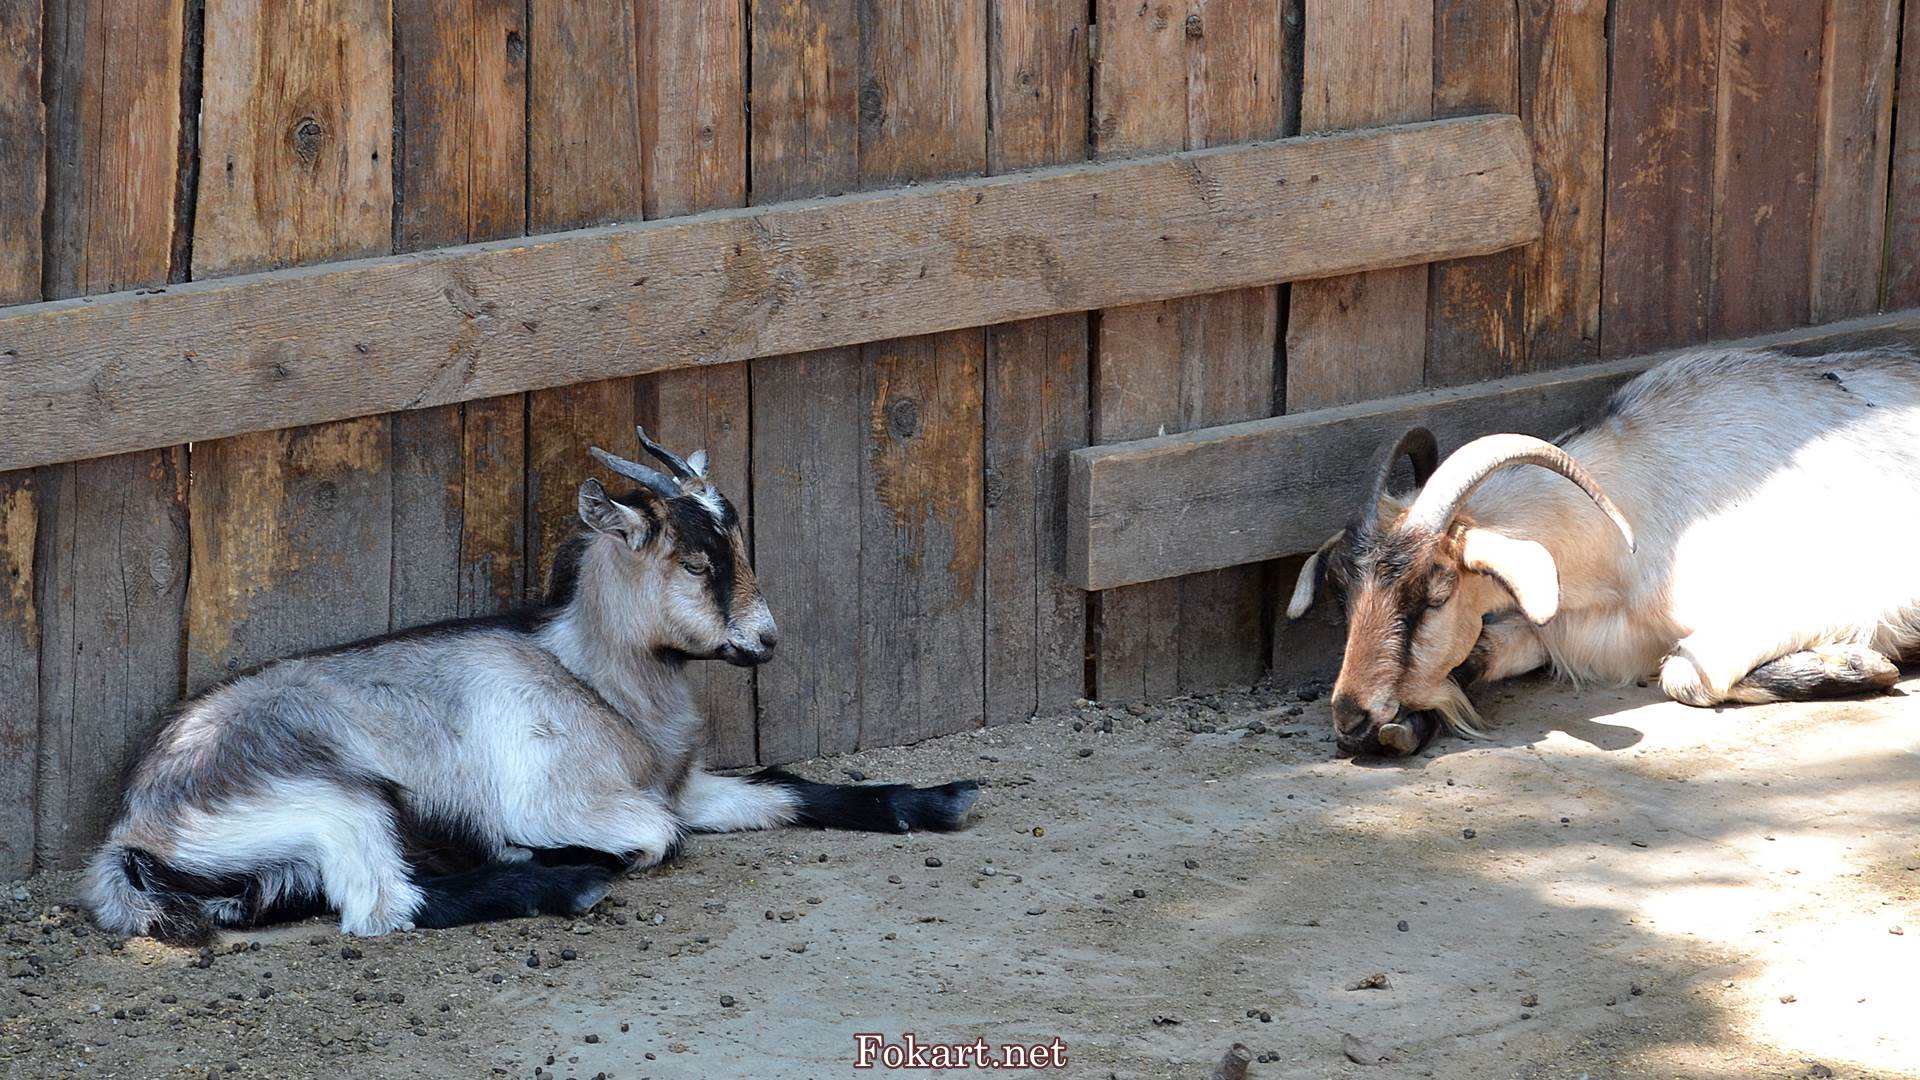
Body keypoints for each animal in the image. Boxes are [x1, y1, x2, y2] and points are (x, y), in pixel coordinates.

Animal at [86, 430, 978, 942]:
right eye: (696, 561)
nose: (765, 640)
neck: (590, 680)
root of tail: (135, 821)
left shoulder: (683, 785)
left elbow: (786, 787)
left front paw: (940, 799)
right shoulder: (566, 799)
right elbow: (656, 837)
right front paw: (551, 853)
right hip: (334, 799)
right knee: (383, 906)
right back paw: (567, 881)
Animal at [1286, 346, 1920, 756]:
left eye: (1436, 593)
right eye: (1344, 596)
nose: (1350, 715)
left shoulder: (1831, 600)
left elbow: (1686, 676)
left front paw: (1859, 665)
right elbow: (1484, 648)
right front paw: (1408, 726)